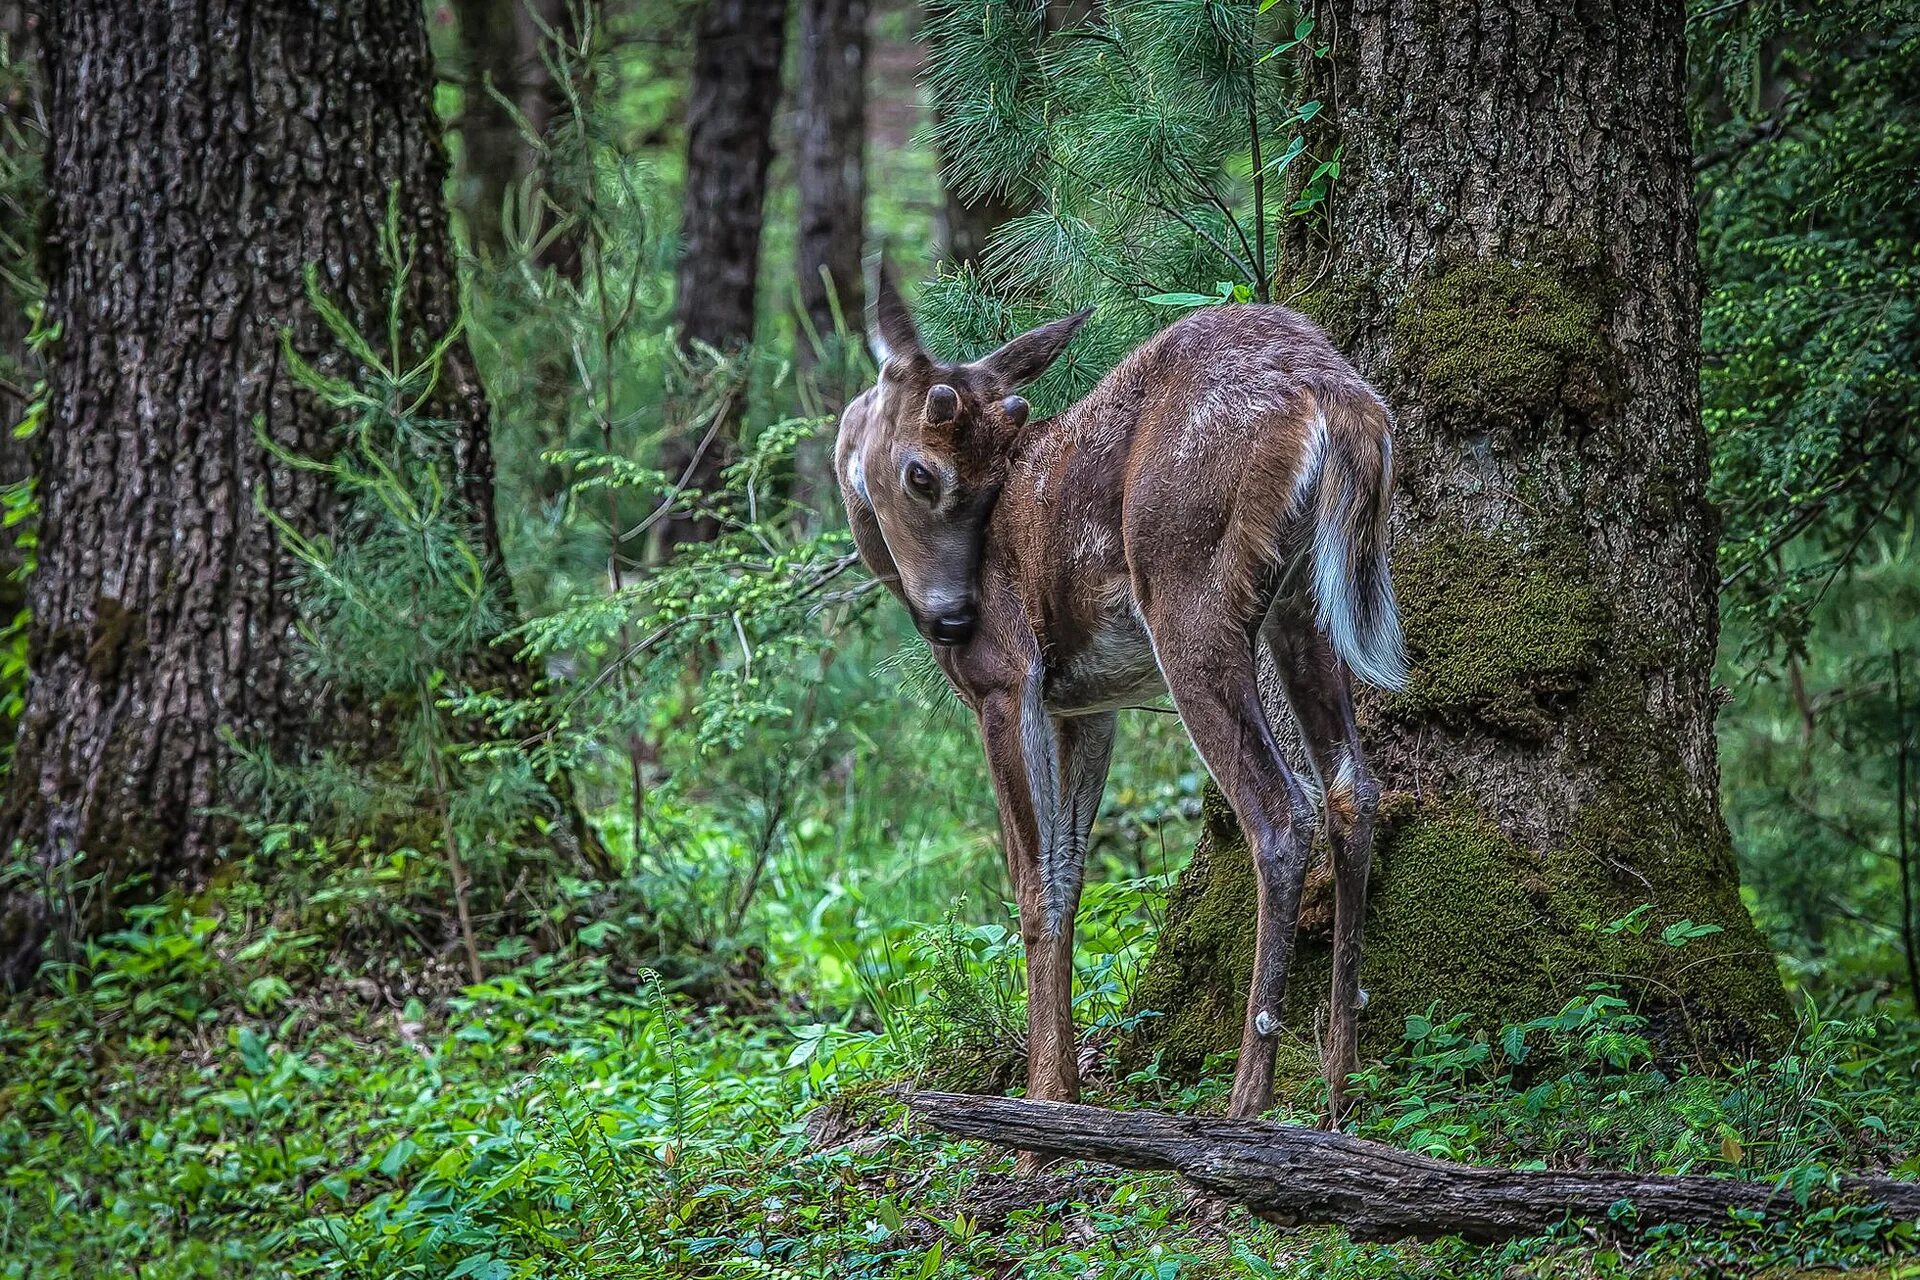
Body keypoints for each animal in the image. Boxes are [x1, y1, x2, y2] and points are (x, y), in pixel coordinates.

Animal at [833, 270, 1405, 1128]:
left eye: (923, 474)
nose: (956, 620)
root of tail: (1334, 392)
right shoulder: (1085, 705)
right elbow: (1070, 875)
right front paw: (1065, 1093)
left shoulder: (1011, 681)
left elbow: (1033, 886)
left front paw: (1039, 1115)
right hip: (1304, 603)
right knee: (1353, 791)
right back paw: (1340, 1087)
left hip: (1188, 589)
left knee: (1280, 809)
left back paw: (1246, 1099)